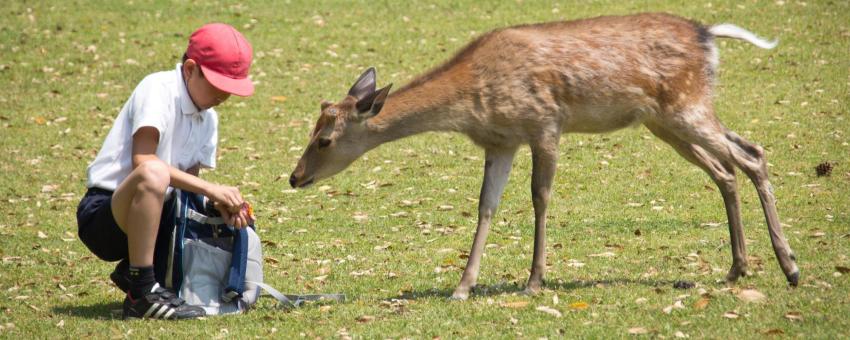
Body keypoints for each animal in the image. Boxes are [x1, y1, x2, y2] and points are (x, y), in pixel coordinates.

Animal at [288, 12, 800, 300]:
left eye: (324, 139)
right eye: (312, 126)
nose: (294, 177)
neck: (473, 101)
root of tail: (708, 34)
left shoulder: (545, 125)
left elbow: (540, 198)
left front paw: (534, 281)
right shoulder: (500, 141)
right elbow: (486, 206)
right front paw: (462, 287)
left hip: (686, 107)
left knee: (751, 155)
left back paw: (790, 267)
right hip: (664, 121)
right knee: (727, 167)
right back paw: (737, 268)